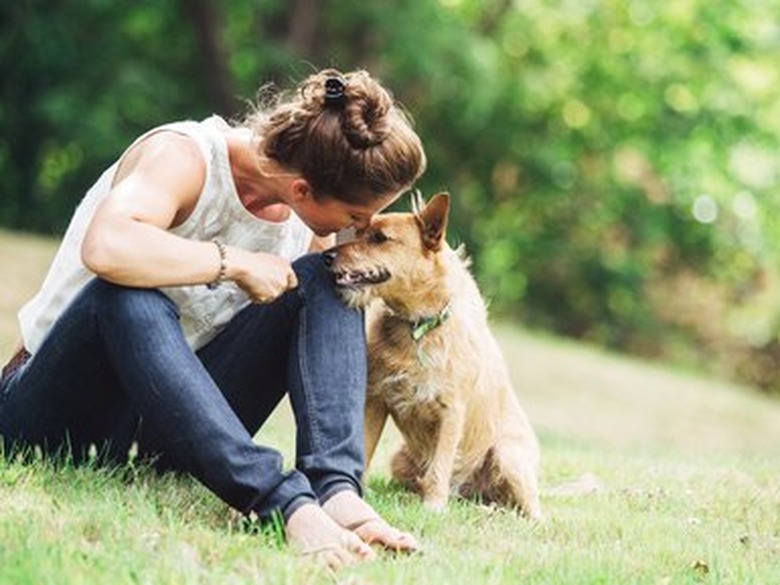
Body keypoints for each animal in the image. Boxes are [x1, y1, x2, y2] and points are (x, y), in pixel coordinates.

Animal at [322, 193, 544, 516]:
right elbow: (365, 449)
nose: (326, 257)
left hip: (508, 457)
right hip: (400, 460)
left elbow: (440, 466)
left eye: (380, 238)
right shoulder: (375, 400)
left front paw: (434, 506)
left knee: (532, 513)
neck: (418, 326)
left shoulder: (451, 411)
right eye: (360, 232)